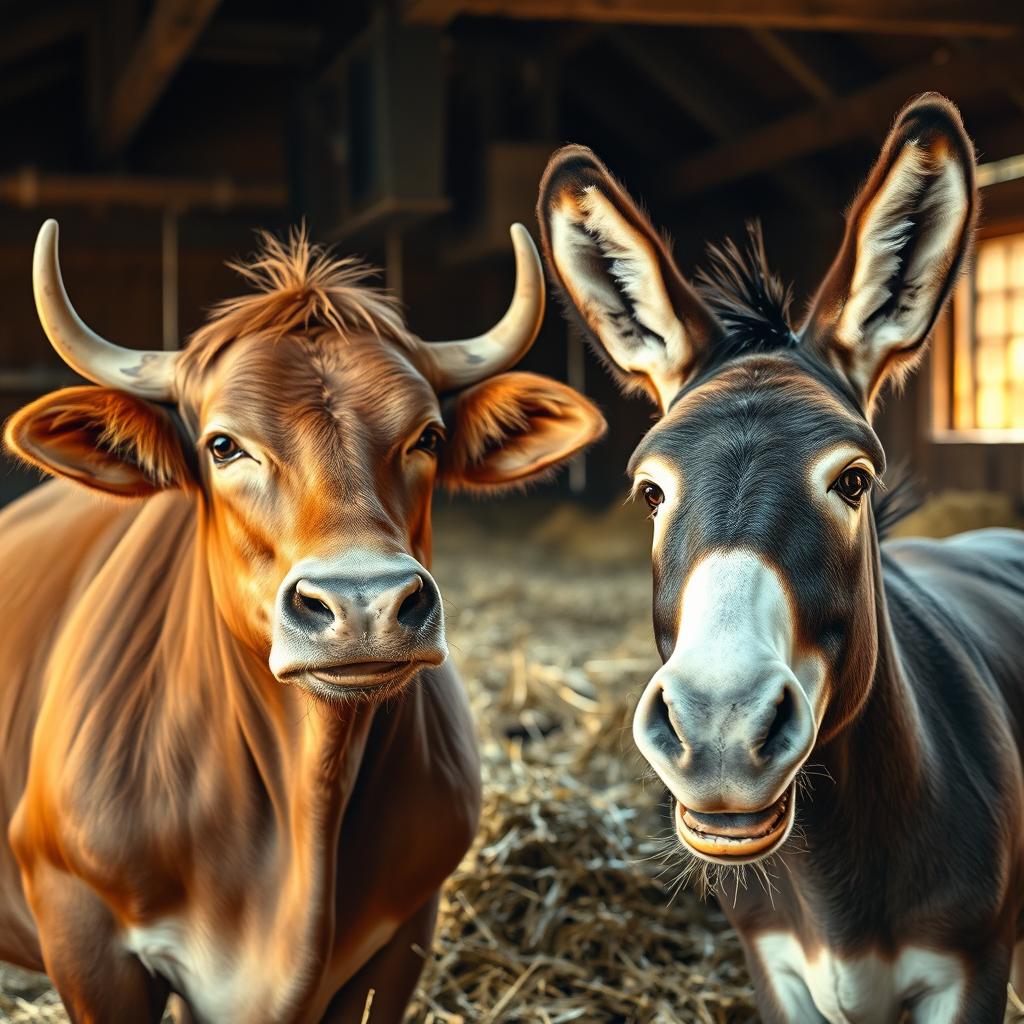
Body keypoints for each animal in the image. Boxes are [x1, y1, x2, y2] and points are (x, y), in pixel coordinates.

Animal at [536, 92, 1024, 1019]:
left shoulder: (974, 967)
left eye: (855, 480)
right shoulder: (774, 969)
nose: (722, 732)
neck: (833, 876)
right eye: (649, 492)